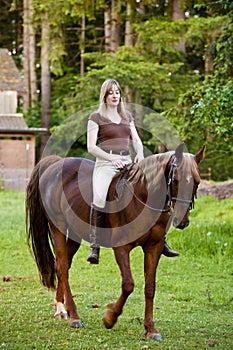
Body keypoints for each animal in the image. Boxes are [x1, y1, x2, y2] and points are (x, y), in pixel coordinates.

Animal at [25, 142, 205, 340]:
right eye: (176, 180)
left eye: (197, 181)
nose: (182, 221)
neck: (143, 196)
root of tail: (56, 163)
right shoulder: (121, 248)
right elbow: (128, 284)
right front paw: (110, 318)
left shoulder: (154, 248)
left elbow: (150, 287)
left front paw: (151, 329)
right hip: (58, 227)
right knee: (63, 267)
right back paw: (74, 316)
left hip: (74, 233)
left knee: (62, 264)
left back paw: (60, 309)